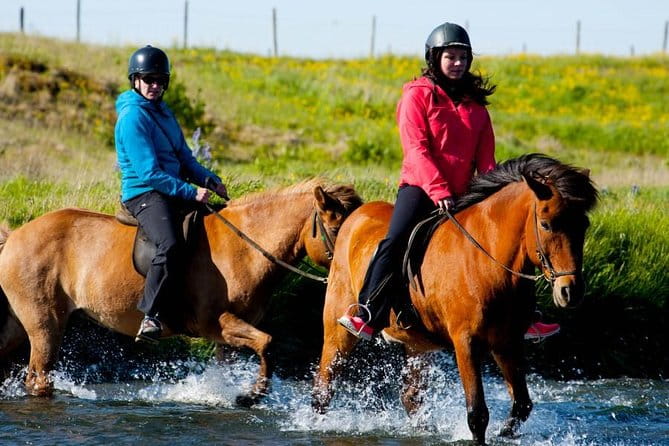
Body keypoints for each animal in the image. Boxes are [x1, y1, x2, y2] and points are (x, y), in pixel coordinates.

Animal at [0, 179, 362, 404]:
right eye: (336, 229)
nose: (353, 274)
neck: (244, 248)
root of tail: (16, 235)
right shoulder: (214, 323)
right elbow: (268, 343)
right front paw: (252, 395)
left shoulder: (226, 336)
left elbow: (242, 358)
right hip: (45, 324)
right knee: (39, 378)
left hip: (20, 324)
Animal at [312, 154, 598, 445]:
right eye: (546, 224)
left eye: (584, 225)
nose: (571, 291)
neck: (487, 262)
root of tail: (354, 217)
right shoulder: (466, 342)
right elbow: (477, 413)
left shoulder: (507, 342)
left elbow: (522, 405)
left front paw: (506, 434)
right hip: (338, 329)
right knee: (323, 388)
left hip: (418, 345)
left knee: (411, 397)